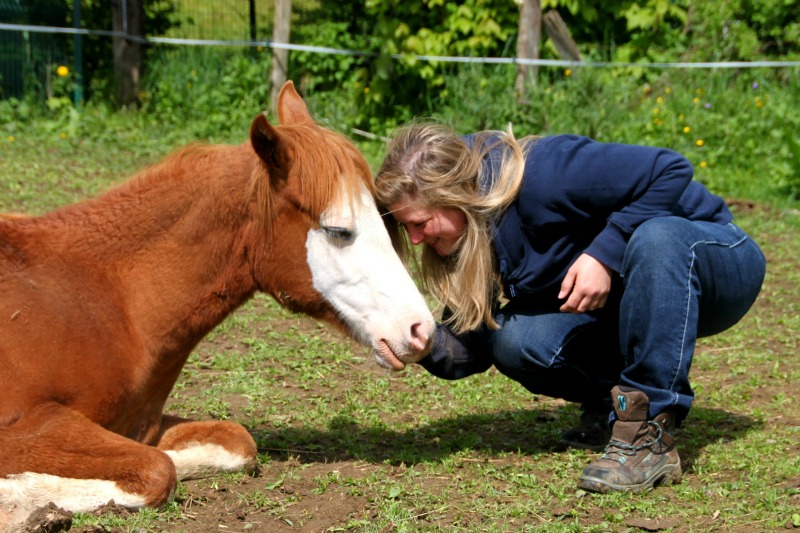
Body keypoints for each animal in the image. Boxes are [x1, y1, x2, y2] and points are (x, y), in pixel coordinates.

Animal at [0, 81, 434, 528]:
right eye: (337, 230)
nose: (421, 329)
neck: (105, 301)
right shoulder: (26, 425)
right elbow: (156, 470)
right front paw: (18, 501)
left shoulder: (141, 426)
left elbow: (232, 443)